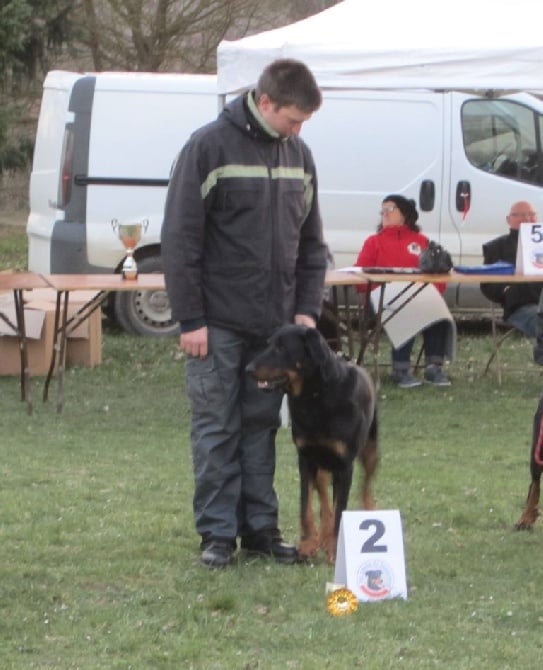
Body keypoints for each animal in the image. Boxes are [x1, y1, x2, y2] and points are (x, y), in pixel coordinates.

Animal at [246, 322, 378, 564]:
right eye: (268, 344)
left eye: (281, 348)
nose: (248, 369)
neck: (315, 396)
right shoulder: (306, 458)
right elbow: (306, 506)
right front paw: (308, 544)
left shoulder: (344, 466)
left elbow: (339, 512)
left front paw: (335, 551)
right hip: (320, 466)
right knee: (324, 501)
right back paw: (321, 537)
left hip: (370, 449)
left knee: (365, 485)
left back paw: (368, 511)